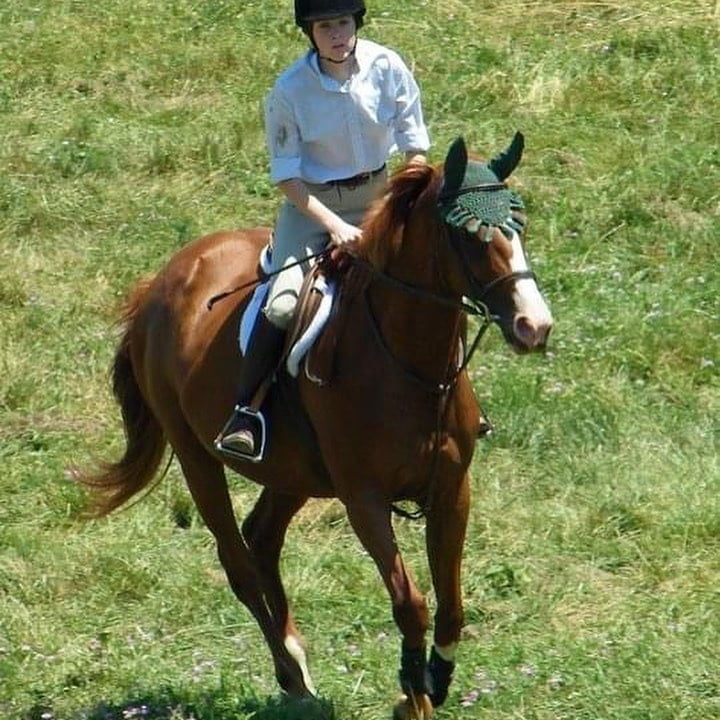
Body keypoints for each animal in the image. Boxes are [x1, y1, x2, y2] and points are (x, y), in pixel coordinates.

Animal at [81, 134, 553, 719]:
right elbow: (411, 603)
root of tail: (163, 279)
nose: (535, 327)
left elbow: (451, 605)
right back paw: (293, 676)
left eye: (519, 225)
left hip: (293, 473)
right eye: (468, 235)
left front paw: (435, 679)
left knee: (262, 540)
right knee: (238, 561)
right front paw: (413, 694)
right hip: (195, 454)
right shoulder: (364, 499)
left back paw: (296, 661)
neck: (409, 363)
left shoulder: (452, 489)